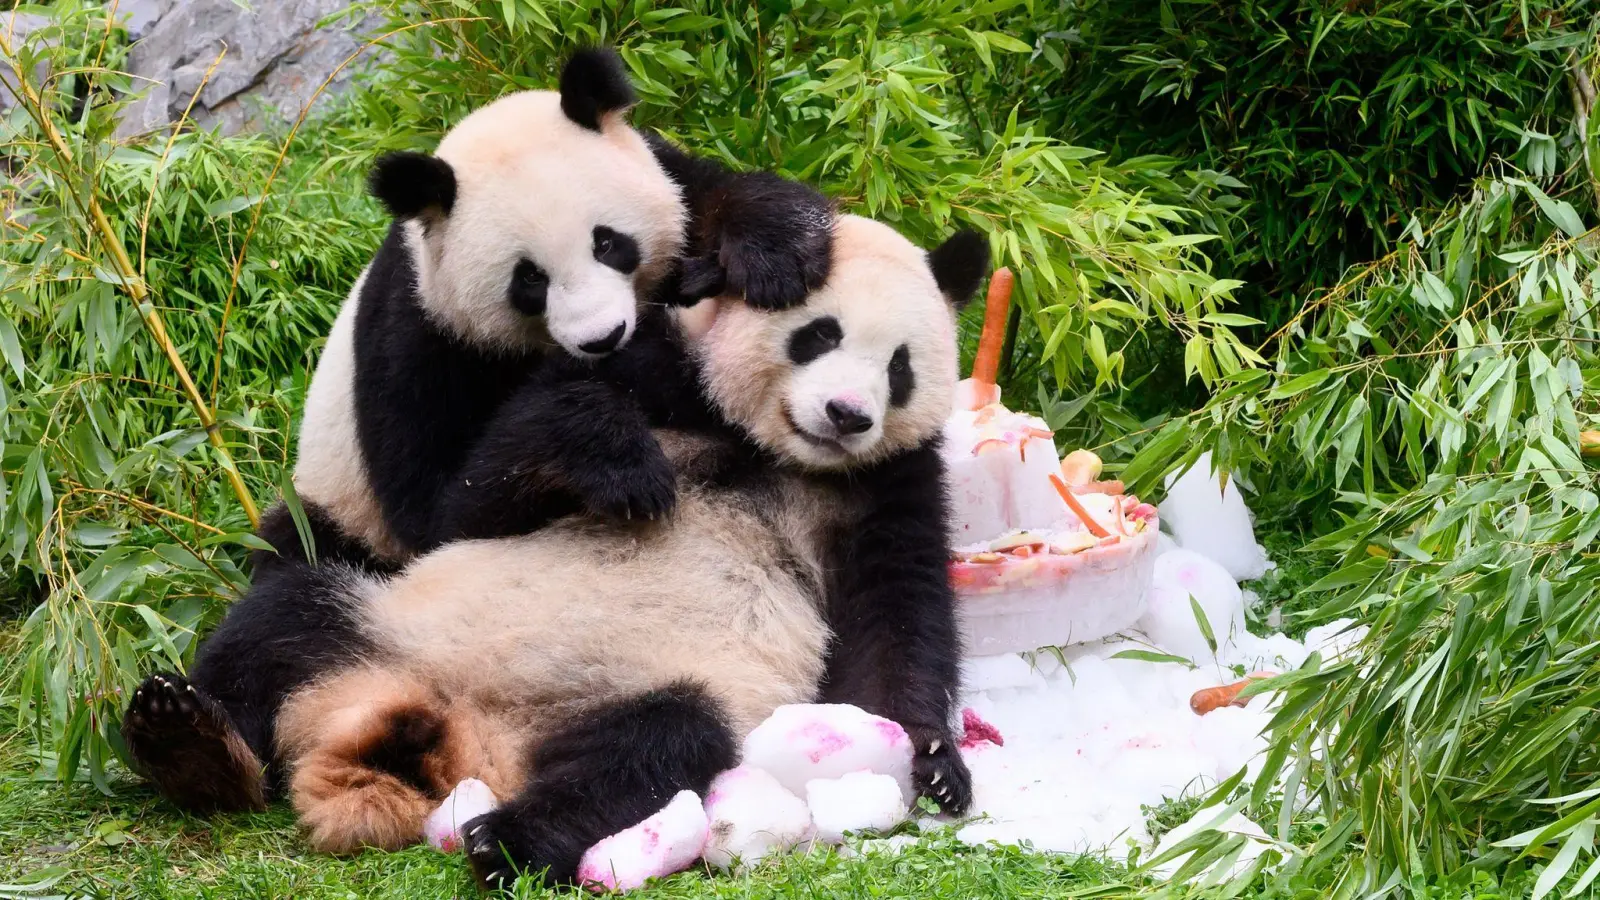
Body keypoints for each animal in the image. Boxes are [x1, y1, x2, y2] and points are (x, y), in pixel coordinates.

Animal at [128, 216, 985, 883]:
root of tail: (461, 740)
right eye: (818, 335)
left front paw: (935, 761)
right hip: (386, 616)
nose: (846, 414)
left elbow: (893, 622)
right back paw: (188, 741)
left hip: (666, 687)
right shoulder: (653, 370)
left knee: (650, 752)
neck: (767, 452)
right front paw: (621, 464)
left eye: (900, 365)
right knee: (281, 621)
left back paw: (504, 838)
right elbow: (467, 503)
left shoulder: (886, 484)